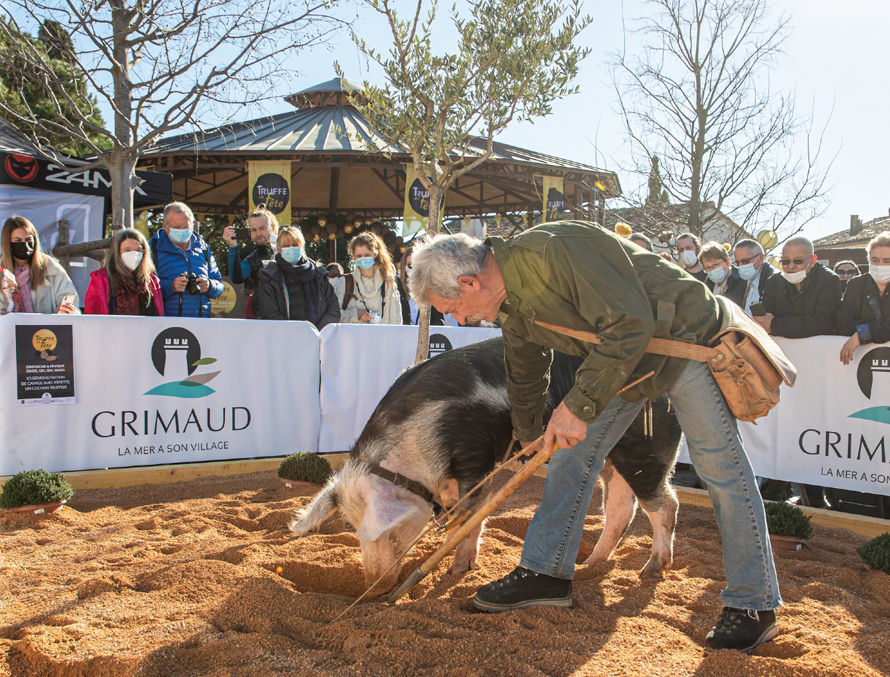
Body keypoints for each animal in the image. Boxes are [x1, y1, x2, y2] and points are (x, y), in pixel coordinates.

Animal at [292, 336, 680, 592]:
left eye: (390, 534)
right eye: (353, 529)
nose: (373, 588)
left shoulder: (474, 457)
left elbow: (468, 516)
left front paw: (455, 571)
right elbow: (465, 515)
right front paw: (462, 563)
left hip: (645, 446)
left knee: (664, 504)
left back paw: (651, 571)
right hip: (612, 455)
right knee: (620, 509)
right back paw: (589, 566)